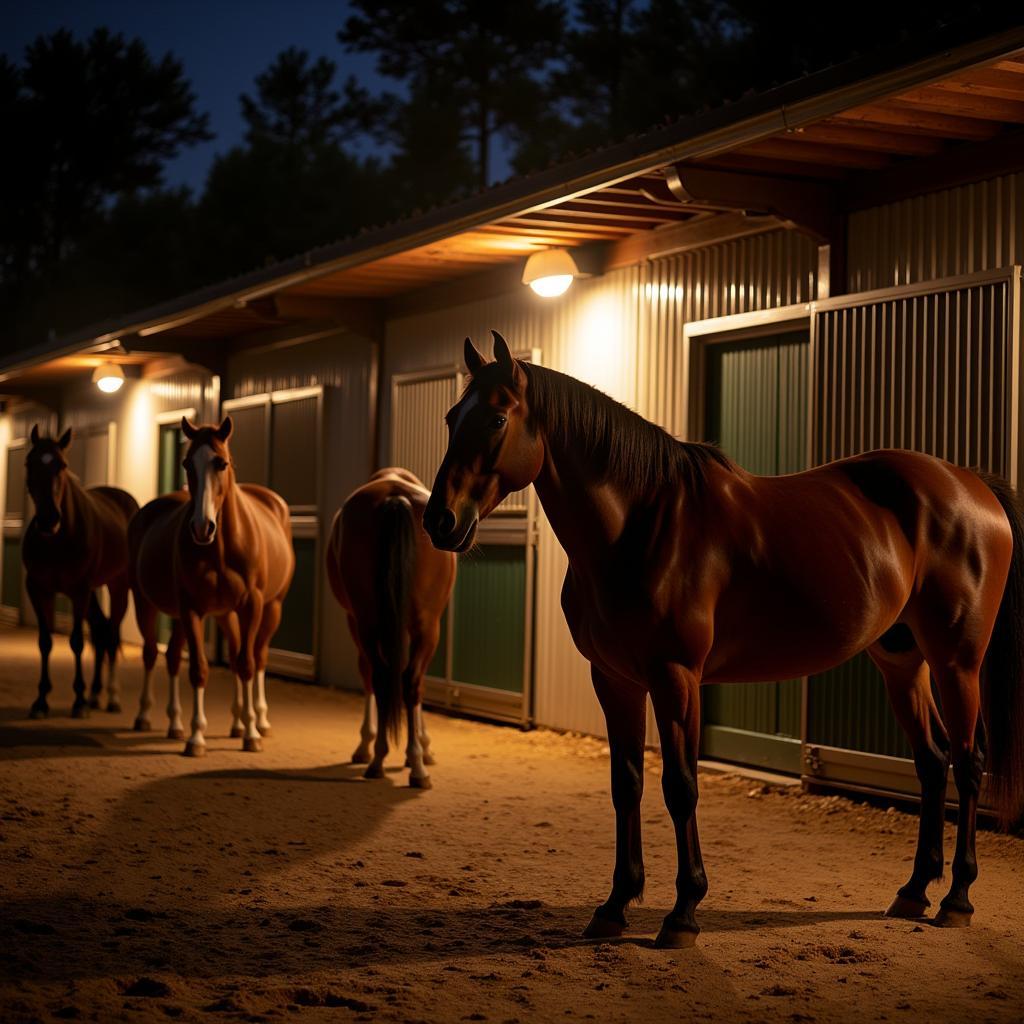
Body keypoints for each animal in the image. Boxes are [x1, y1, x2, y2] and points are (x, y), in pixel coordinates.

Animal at [21, 423, 138, 720]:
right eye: (29, 462)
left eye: (62, 464)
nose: (49, 519)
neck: (59, 538)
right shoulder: (39, 589)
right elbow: (45, 641)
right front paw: (41, 701)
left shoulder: (79, 591)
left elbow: (76, 641)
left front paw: (78, 701)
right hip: (93, 591)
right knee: (100, 629)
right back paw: (95, 694)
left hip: (117, 586)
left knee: (111, 634)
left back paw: (112, 698)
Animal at [130, 417, 294, 761]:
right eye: (186, 463)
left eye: (221, 463)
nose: (201, 527)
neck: (221, 547)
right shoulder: (191, 608)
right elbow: (199, 670)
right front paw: (196, 738)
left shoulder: (251, 606)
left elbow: (246, 664)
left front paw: (251, 733)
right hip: (145, 601)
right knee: (154, 654)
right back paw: (151, 717)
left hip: (265, 609)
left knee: (253, 656)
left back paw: (251, 721)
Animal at [327, 468, 456, 786]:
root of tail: (396, 496)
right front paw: (419, 747)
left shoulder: (360, 621)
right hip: (420, 625)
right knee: (406, 679)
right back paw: (409, 765)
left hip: (370, 623)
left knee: (388, 676)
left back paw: (385, 759)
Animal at [425, 331, 1024, 946]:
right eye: (451, 416)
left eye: (497, 418)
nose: (440, 521)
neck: (640, 524)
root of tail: (971, 484)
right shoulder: (613, 679)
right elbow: (626, 784)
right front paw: (614, 906)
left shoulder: (676, 677)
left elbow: (680, 785)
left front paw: (683, 912)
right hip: (903, 662)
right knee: (931, 761)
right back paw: (913, 891)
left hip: (957, 662)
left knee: (967, 763)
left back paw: (956, 899)